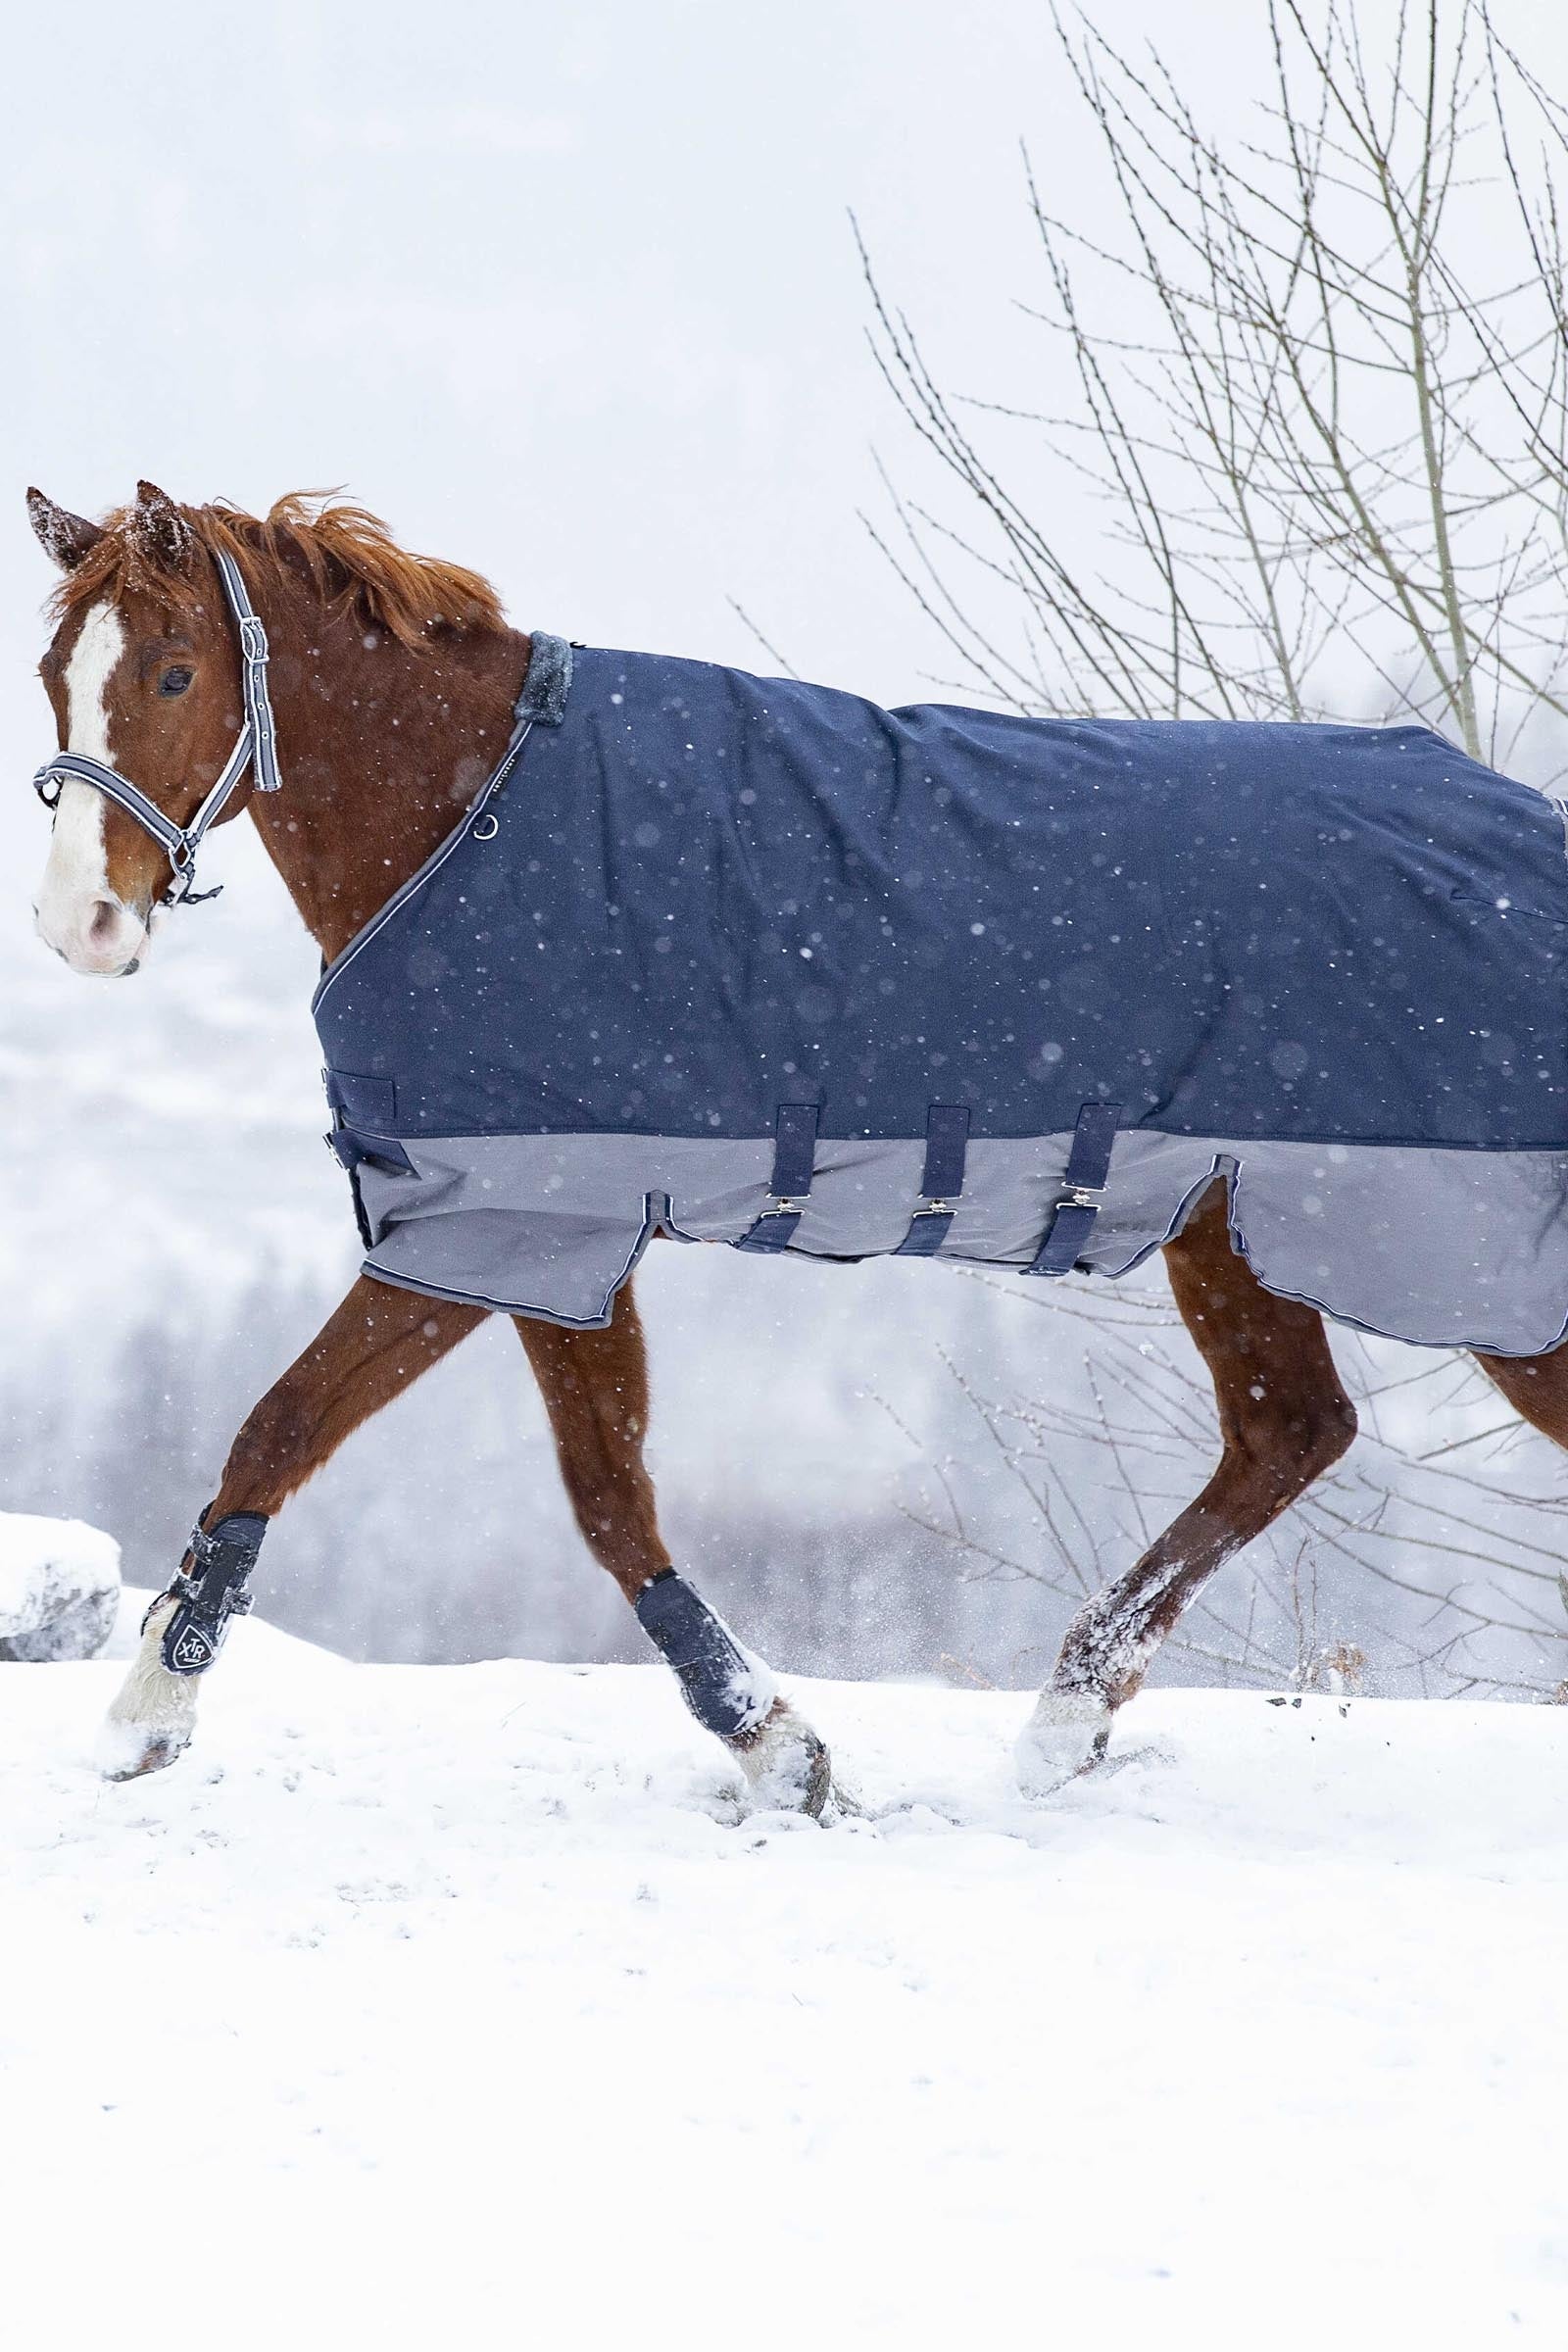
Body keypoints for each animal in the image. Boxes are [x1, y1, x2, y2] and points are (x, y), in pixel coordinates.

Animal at [27, 481, 1568, 1811]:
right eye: (53, 670)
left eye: (172, 673)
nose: (78, 928)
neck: (470, 814)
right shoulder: (536, 1232)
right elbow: (579, 1494)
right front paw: (778, 1746)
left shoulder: (502, 1228)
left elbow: (312, 1433)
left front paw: (148, 1709)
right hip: (1231, 1227)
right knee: (1288, 1433)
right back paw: (1066, 1717)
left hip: (1449, 1259)